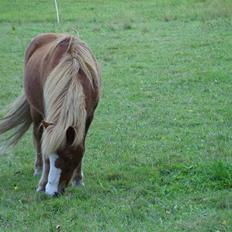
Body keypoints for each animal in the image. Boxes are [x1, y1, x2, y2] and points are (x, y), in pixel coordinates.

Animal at [0, 32, 100, 196]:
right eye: (51, 156)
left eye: (69, 157)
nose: (51, 192)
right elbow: (44, 146)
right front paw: (42, 184)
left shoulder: (88, 117)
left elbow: (82, 146)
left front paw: (78, 180)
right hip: (36, 112)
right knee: (37, 136)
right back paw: (38, 168)